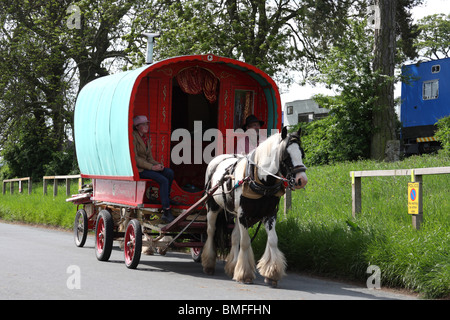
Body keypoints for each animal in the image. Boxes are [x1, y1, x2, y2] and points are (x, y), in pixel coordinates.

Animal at [202, 127, 308, 288]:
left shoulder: (269, 214)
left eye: (302, 153)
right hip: (213, 207)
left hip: (235, 213)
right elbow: (245, 242)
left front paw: (272, 273)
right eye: (286, 156)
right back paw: (209, 264)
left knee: (234, 237)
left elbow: (273, 240)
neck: (261, 182)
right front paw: (244, 274)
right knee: (210, 231)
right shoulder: (243, 215)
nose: (302, 180)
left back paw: (233, 266)